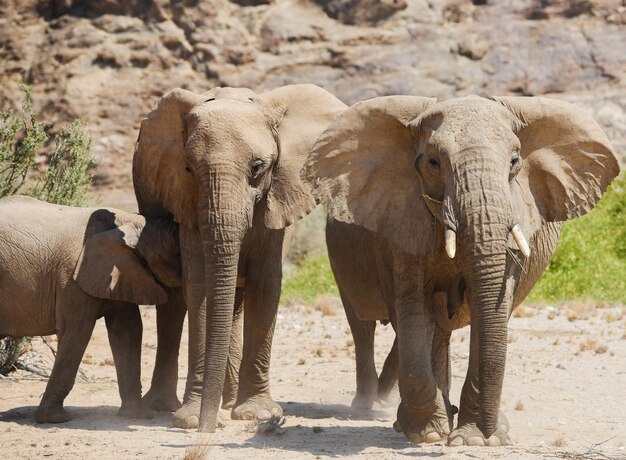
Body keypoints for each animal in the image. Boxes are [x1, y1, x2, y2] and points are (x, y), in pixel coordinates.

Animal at [0, 195, 180, 424]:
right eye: (180, 255)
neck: (129, 220)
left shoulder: (121, 273)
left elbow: (127, 331)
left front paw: (137, 416)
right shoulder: (71, 281)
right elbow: (77, 332)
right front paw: (55, 419)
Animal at [133, 83, 346, 432]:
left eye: (258, 167)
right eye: (188, 167)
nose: (209, 428)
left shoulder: (277, 200)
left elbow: (266, 287)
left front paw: (257, 414)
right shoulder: (188, 203)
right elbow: (201, 289)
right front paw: (191, 419)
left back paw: (228, 402)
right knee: (173, 290)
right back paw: (165, 406)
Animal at [302, 96, 620, 446]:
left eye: (514, 161)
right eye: (433, 162)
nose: (492, 432)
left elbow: (491, 312)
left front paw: (475, 439)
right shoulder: (401, 221)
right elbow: (413, 309)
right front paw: (428, 433)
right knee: (365, 325)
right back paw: (377, 408)